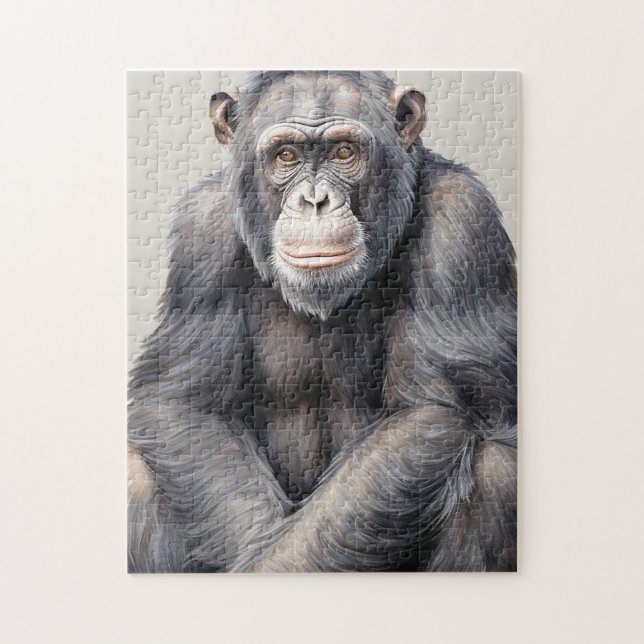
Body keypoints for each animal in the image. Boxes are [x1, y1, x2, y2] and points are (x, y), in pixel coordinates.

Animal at [128, 71, 517, 572]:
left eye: (344, 153)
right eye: (287, 156)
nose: (315, 200)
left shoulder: (464, 224)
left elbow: (431, 411)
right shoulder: (203, 234)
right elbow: (182, 404)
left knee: (495, 471)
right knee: (136, 472)